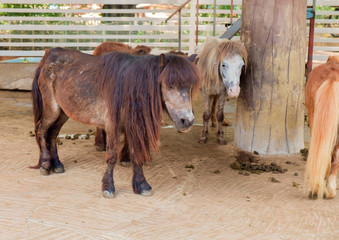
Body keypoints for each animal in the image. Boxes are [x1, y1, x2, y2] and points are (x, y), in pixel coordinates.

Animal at [31, 47, 201, 198]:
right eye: (169, 85)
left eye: (190, 87)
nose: (187, 121)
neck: (128, 87)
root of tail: (48, 56)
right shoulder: (112, 126)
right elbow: (112, 155)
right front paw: (108, 187)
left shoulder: (133, 127)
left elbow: (136, 155)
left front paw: (142, 185)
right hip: (52, 110)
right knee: (42, 131)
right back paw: (45, 165)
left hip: (63, 113)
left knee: (52, 135)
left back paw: (57, 164)